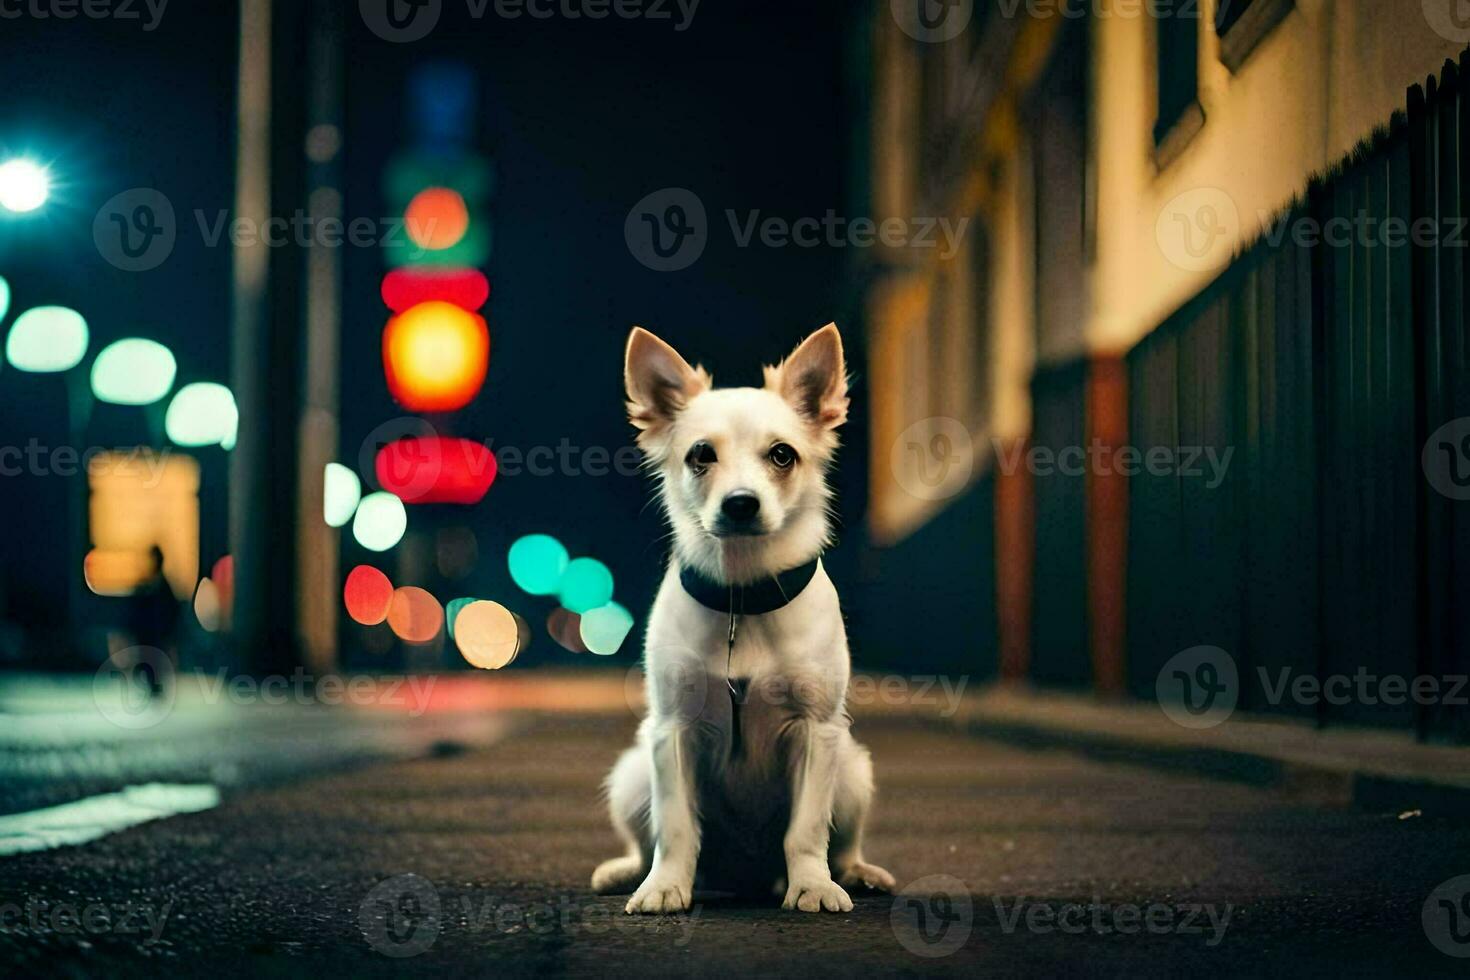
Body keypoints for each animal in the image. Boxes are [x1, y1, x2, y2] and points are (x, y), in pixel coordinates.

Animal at [588, 321, 893, 910]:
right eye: (701, 455)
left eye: (782, 455)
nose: (741, 503)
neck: (742, 598)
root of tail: (743, 877)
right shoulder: (671, 731)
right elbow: (676, 827)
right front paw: (665, 887)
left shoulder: (818, 733)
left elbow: (806, 831)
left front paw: (812, 885)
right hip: (632, 774)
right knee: (647, 840)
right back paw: (630, 871)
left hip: (854, 770)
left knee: (844, 843)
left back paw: (855, 872)